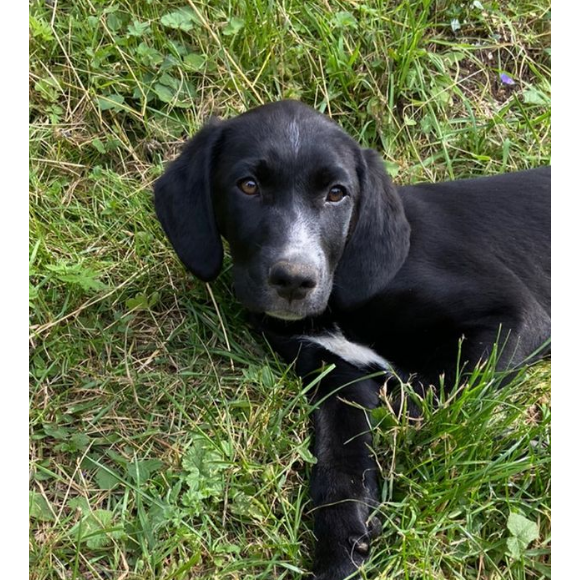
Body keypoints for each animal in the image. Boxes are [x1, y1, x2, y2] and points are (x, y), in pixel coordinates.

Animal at [155, 101, 552, 580]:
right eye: (248, 185)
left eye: (336, 194)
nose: (295, 280)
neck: (338, 301)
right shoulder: (334, 377)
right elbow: (338, 461)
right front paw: (341, 543)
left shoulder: (516, 316)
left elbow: (424, 401)